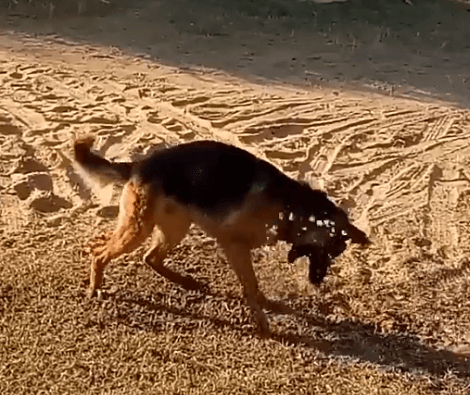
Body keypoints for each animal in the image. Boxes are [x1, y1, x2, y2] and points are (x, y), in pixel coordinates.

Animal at [73, 138, 370, 336]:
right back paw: (95, 285)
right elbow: (250, 284)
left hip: (170, 229)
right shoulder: (234, 246)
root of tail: (139, 164)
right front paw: (261, 321)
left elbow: (254, 287)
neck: (292, 208)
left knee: (147, 256)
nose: (318, 281)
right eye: (333, 250)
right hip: (140, 229)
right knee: (104, 255)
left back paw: (185, 281)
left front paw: (264, 304)